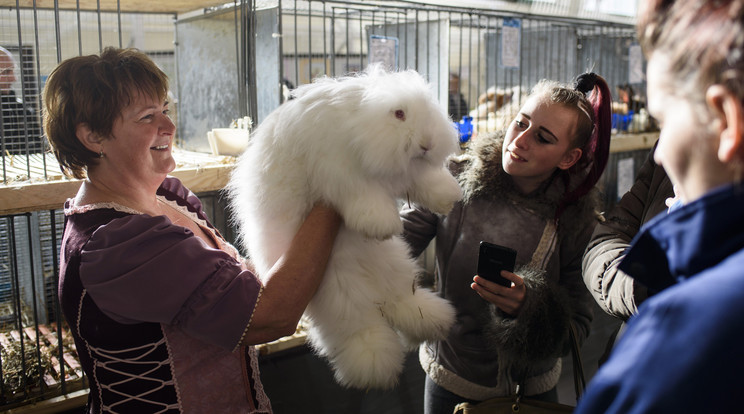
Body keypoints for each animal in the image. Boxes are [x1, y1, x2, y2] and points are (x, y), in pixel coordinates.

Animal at [228, 64, 460, 388]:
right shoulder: (341, 174)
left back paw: (434, 320)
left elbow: (427, 181)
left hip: (396, 268)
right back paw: (375, 364)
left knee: (402, 300)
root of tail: (371, 286)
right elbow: (364, 194)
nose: (427, 145)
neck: (359, 126)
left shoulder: (410, 174)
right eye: (399, 113)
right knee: (359, 328)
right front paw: (381, 223)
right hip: (339, 293)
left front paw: (449, 197)